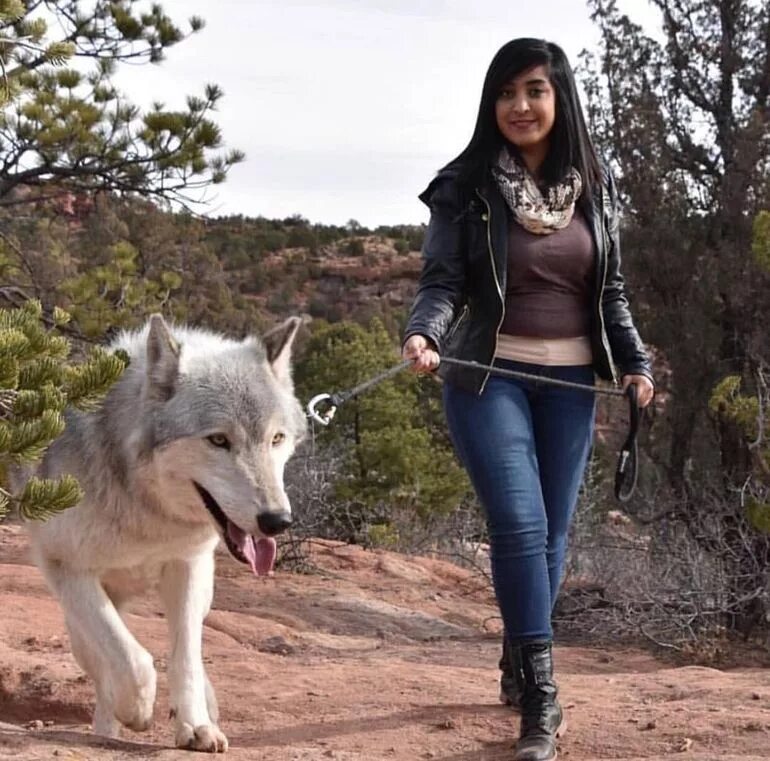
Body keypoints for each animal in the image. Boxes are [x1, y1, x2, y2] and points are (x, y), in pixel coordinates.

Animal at [24, 314, 306, 748]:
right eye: (218, 440)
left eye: (276, 438)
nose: (277, 521)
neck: (147, 513)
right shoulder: (67, 568)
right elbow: (130, 658)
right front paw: (136, 710)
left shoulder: (187, 565)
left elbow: (184, 656)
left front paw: (196, 726)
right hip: (78, 615)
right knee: (100, 660)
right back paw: (109, 724)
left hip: (204, 586)